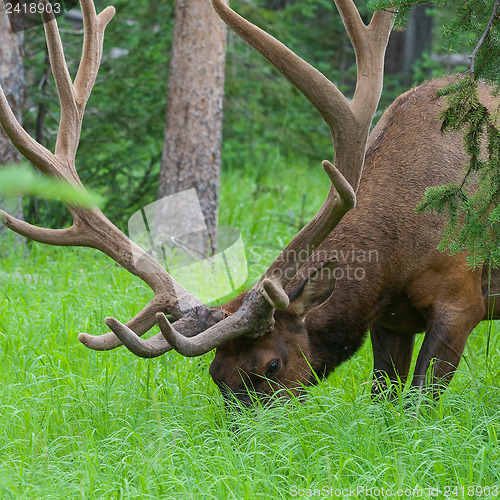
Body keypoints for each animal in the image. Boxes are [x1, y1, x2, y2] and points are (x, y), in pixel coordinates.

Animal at [0, 0, 496, 404]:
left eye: (271, 365)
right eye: (216, 375)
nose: (243, 444)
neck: (400, 251)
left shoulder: (461, 299)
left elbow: (418, 403)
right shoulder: (390, 320)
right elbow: (384, 398)